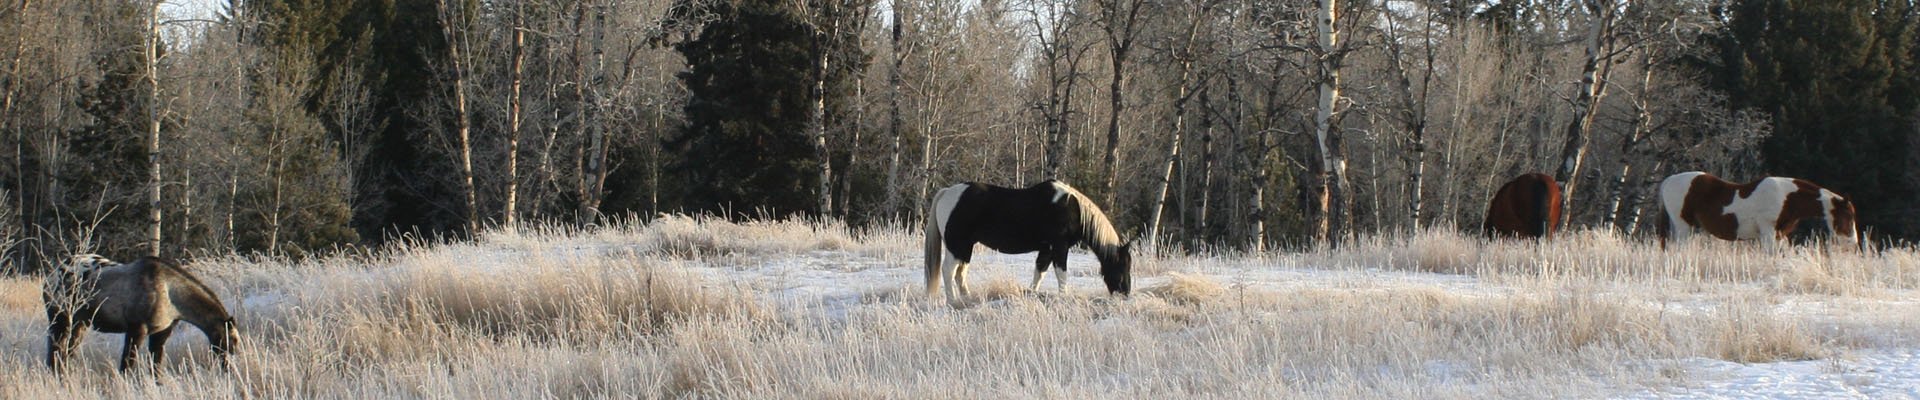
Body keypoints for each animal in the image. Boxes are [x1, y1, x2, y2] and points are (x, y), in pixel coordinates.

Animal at [45, 253, 241, 373]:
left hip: (81, 323)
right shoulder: (136, 329)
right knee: (54, 354)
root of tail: (52, 274)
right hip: (60, 320)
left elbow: (156, 368)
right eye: (233, 339)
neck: (170, 295)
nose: (230, 367)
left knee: (66, 354)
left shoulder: (161, 332)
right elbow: (127, 366)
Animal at [917, 179, 1121, 301]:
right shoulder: (1060, 247)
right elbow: (1061, 273)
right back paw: (953, 302)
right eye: (1123, 266)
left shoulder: (1047, 249)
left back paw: (967, 299)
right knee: (948, 271)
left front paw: (1032, 294)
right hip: (957, 246)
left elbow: (1039, 272)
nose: (1124, 293)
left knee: (960, 273)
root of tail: (947, 192)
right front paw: (1063, 297)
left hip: (965, 248)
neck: (1073, 209)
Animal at [1658, 172, 1850, 250]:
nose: (1852, 243)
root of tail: (1669, 179)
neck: (1786, 197)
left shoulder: (1779, 234)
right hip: (1683, 227)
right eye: (1847, 215)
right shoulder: (1768, 232)